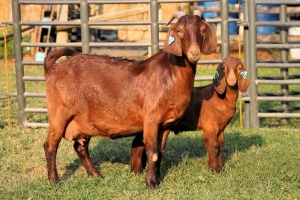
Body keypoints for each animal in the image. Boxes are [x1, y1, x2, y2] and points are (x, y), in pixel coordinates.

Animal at [43, 10, 217, 189]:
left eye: (203, 30)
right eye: (180, 31)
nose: (194, 53)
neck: (171, 73)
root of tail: (53, 69)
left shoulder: (166, 124)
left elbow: (160, 152)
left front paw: (158, 179)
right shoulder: (151, 119)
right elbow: (152, 152)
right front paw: (150, 183)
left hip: (83, 120)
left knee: (80, 146)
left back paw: (95, 174)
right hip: (59, 114)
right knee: (50, 145)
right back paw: (54, 180)